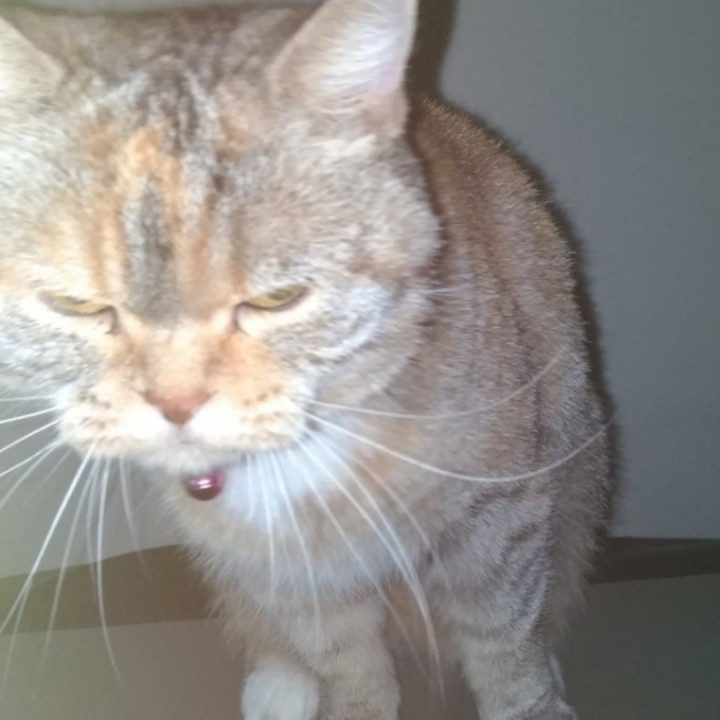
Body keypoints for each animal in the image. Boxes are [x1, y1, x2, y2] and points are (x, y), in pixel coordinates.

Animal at [0, 1, 610, 719]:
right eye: (76, 304)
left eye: (277, 297)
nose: (176, 404)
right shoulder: (291, 573)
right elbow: (346, 665)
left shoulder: (496, 517)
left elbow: (503, 643)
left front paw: (528, 699)